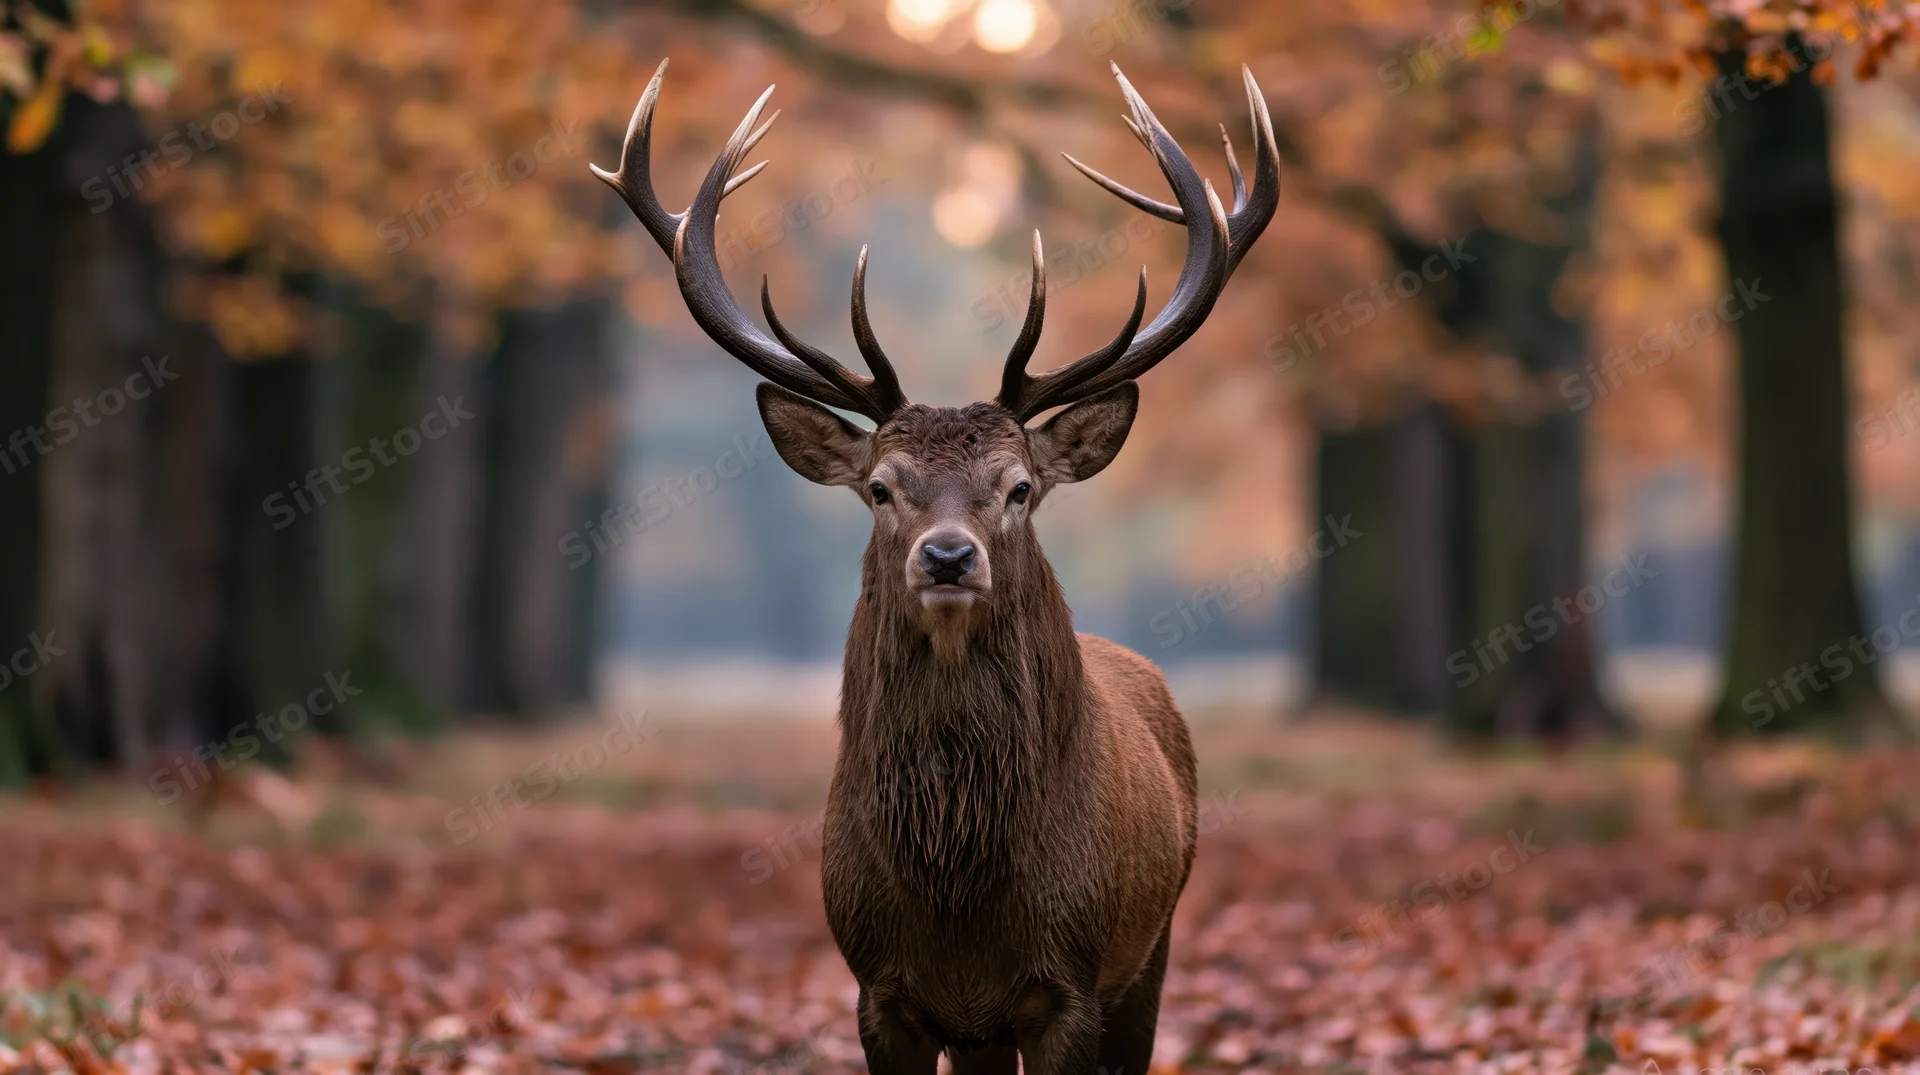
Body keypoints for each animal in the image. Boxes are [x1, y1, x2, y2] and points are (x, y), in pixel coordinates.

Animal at [592, 59, 1278, 1075]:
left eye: (1019, 486)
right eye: (882, 487)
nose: (949, 555)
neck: (959, 902)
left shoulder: (1073, 984)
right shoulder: (880, 988)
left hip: (1151, 947)